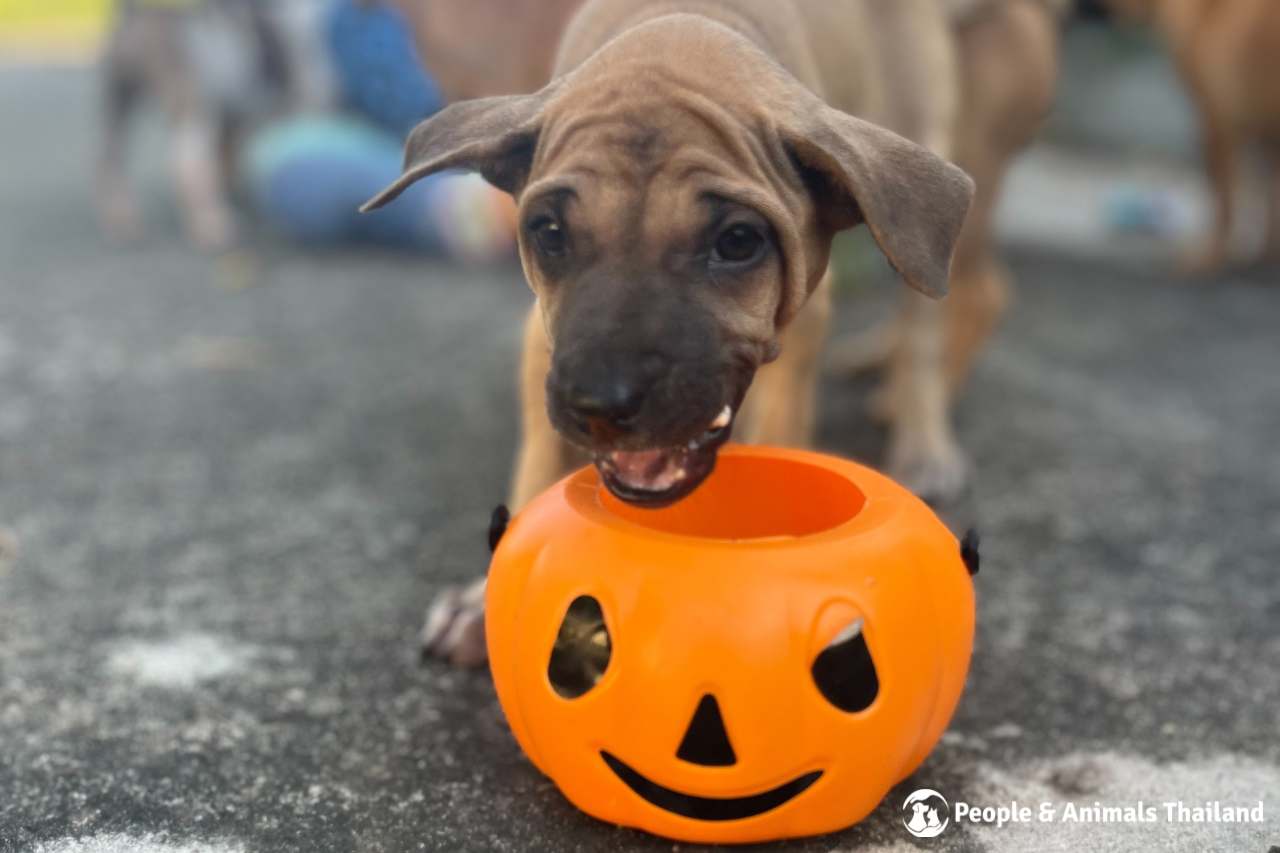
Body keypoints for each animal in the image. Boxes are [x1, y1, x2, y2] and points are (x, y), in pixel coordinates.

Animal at [96, 1, 296, 249]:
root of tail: (135, 16)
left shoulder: (231, 116)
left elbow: (226, 157)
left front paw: (231, 187)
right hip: (194, 108)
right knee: (187, 166)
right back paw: (209, 223)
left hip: (119, 99)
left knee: (109, 158)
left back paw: (121, 221)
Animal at [373, 0, 1064, 660]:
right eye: (548, 232)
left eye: (737, 241)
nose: (600, 406)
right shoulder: (544, 333)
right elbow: (538, 460)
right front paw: (481, 602)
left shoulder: (804, 319)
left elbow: (781, 430)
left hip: (925, 183)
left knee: (947, 309)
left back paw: (921, 436)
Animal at [1111, 0, 1280, 270]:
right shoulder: (1265, 132)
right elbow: (1271, 196)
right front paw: (1266, 255)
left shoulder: (1216, 122)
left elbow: (1223, 196)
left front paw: (1210, 256)